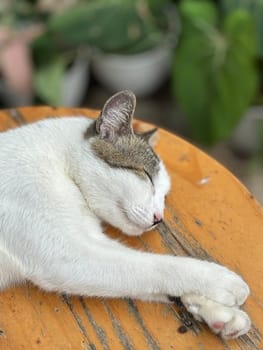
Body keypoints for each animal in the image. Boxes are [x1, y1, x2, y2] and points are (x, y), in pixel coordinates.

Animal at [0, 90, 252, 340]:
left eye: (164, 197)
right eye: (147, 177)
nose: (159, 218)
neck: (61, 164)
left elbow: (154, 283)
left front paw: (218, 311)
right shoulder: (64, 254)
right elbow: (155, 266)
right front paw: (222, 281)